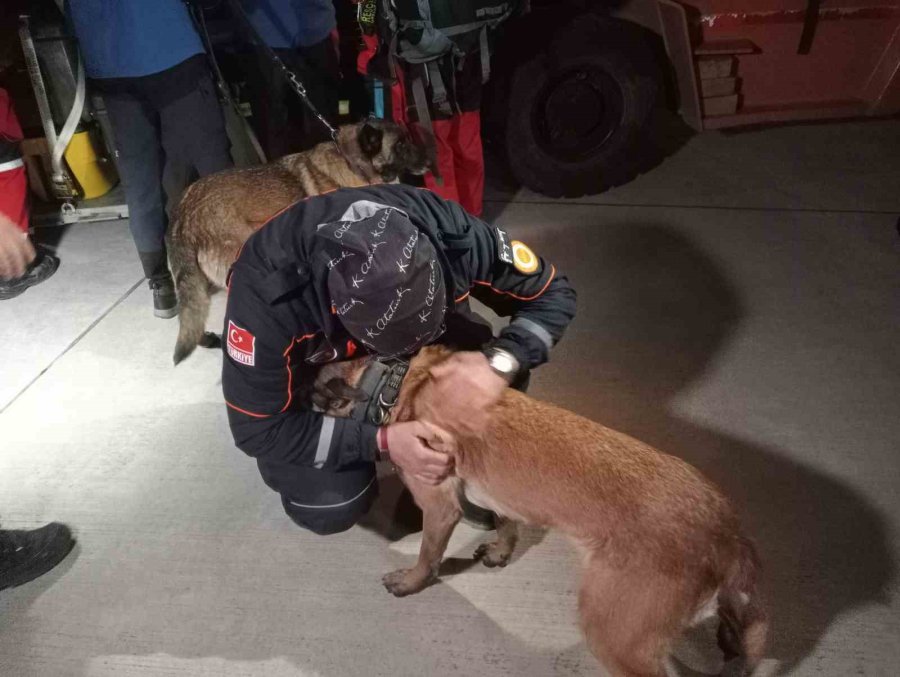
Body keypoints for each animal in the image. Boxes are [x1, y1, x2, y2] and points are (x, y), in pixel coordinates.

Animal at [314, 348, 768, 676]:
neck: (392, 379)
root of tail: (726, 530)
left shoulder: (440, 509)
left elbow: (428, 556)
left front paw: (411, 582)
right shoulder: (500, 493)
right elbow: (507, 522)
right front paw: (501, 550)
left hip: (613, 633)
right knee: (739, 630)